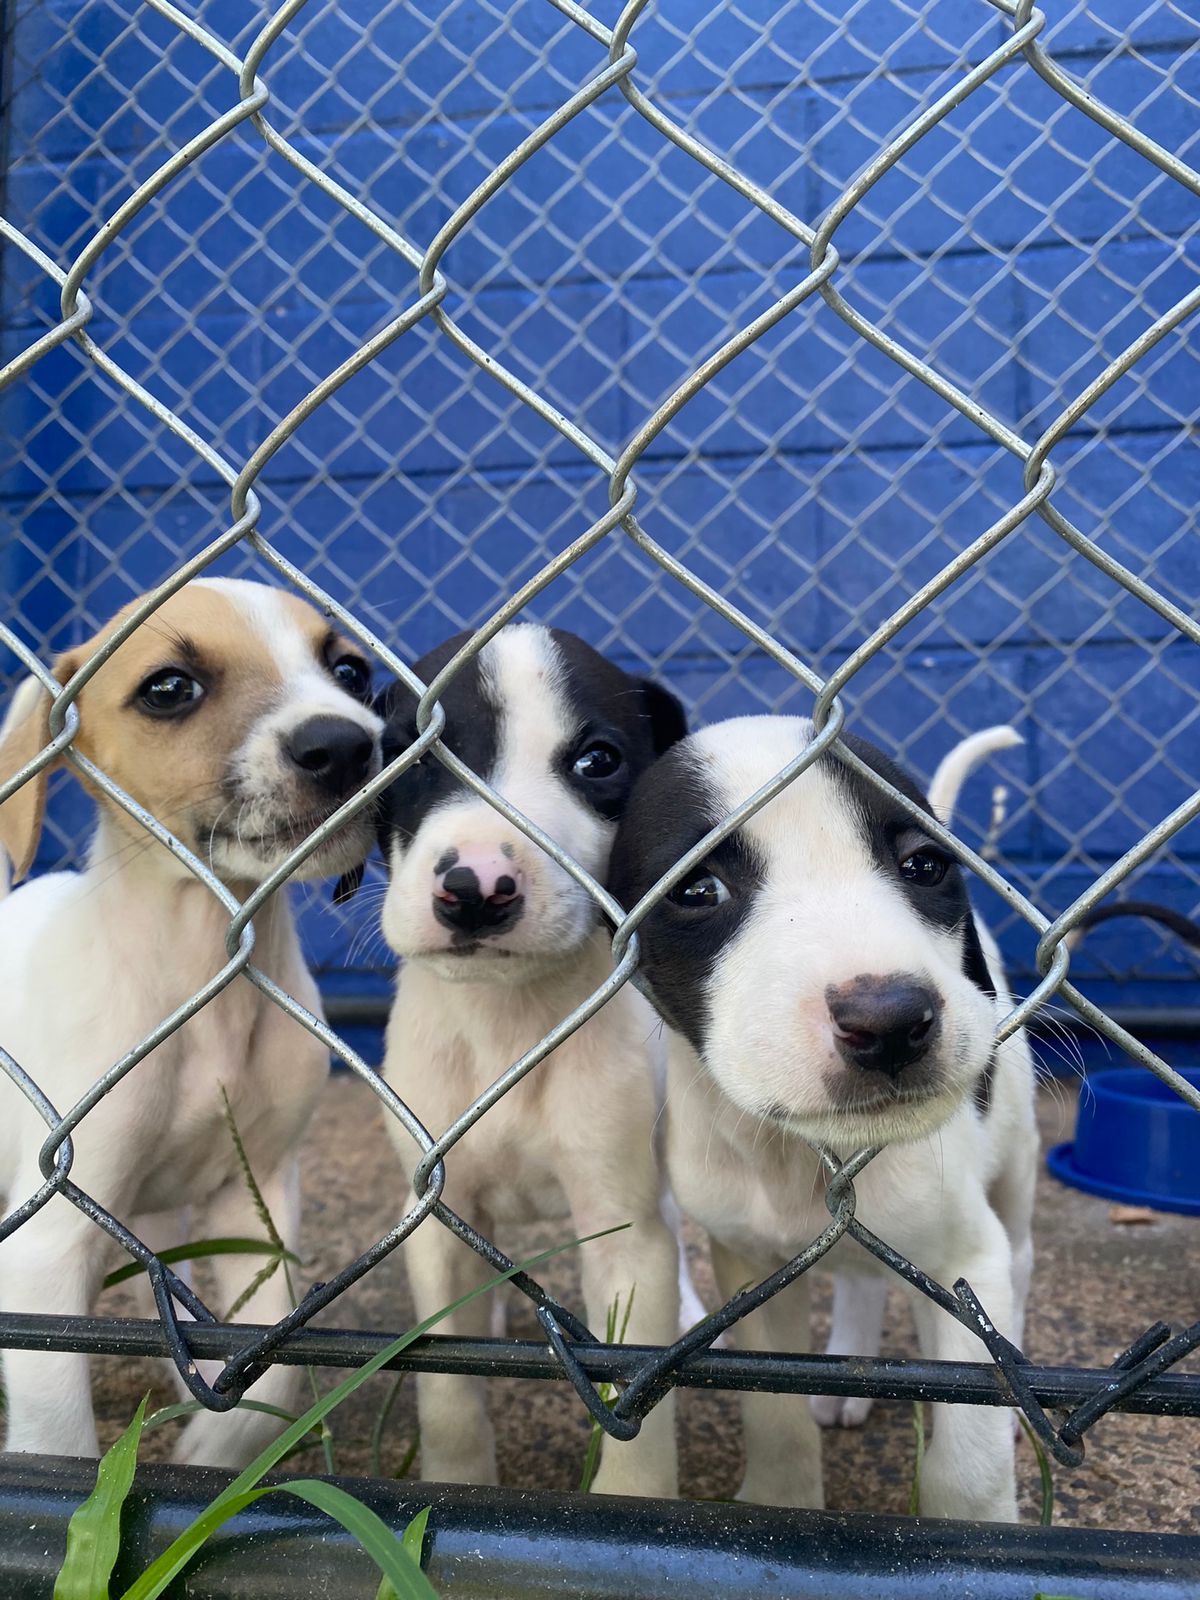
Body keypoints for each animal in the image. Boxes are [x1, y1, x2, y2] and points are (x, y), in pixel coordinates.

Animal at [0, 582, 380, 1465]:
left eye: (349, 670)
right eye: (169, 688)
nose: (349, 746)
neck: (210, 972)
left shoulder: (257, 1204)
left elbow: (267, 1382)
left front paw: (209, 1451)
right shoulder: (49, 1241)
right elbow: (57, 1441)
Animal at [376, 624, 694, 1497]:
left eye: (597, 761)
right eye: (412, 755)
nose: (477, 887)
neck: (507, 1021)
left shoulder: (625, 1231)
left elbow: (640, 1408)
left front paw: (633, 1502)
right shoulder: (436, 1210)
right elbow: (448, 1388)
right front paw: (456, 1481)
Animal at [611, 720, 1043, 1516]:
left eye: (924, 864)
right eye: (698, 890)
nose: (891, 1021)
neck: (801, 1157)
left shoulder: (967, 1262)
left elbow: (969, 1461)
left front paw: (982, 1522)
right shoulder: (747, 1267)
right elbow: (774, 1415)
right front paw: (780, 1493)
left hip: (1017, 1169)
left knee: (1022, 1258)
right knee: (863, 1278)